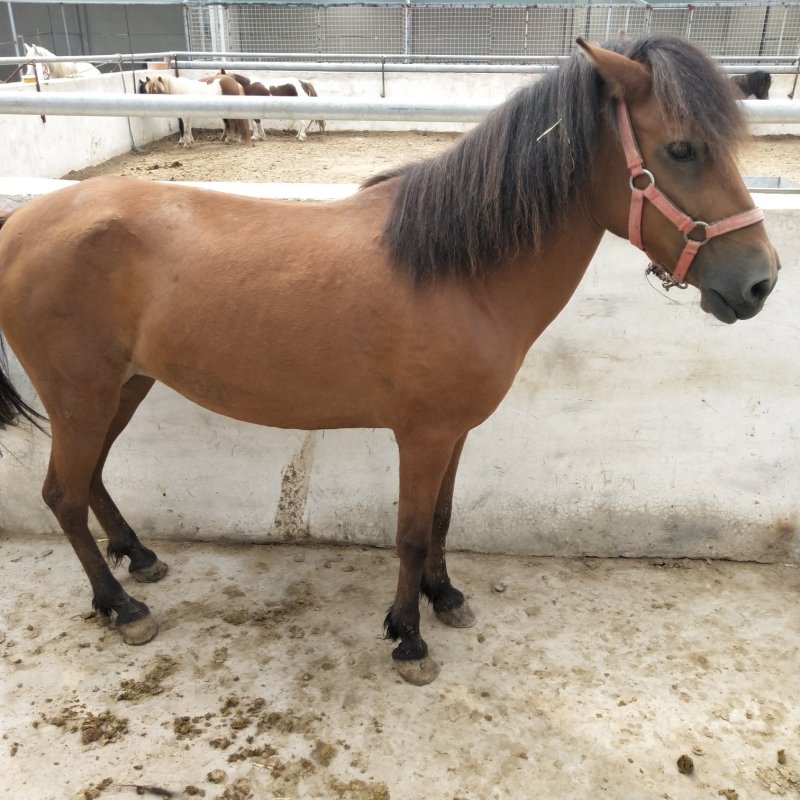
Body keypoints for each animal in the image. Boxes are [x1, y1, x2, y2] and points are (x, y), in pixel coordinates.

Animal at [0, 36, 779, 686]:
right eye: (681, 150)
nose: (761, 282)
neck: (461, 270)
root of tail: (23, 221)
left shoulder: (455, 432)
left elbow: (441, 519)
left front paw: (445, 596)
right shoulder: (422, 436)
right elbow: (407, 534)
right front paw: (408, 636)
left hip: (122, 387)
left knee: (92, 478)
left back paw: (139, 558)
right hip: (81, 395)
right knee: (63, 495)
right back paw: (120, 605)